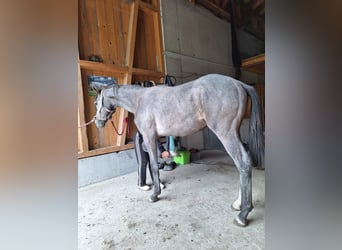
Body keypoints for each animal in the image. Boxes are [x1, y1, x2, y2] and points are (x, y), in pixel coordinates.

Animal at [91, 73, 264, 227]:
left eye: (96, 103)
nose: (97, 122)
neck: (140, 100)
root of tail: (238, 83)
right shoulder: (152, 139)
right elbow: (152, 163)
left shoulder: (148, 137)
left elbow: (153, 165)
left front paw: (155, 194)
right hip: (235, 133)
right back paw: (238, 203)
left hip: (226, 134)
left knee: (243, 163)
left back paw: (243, 214)